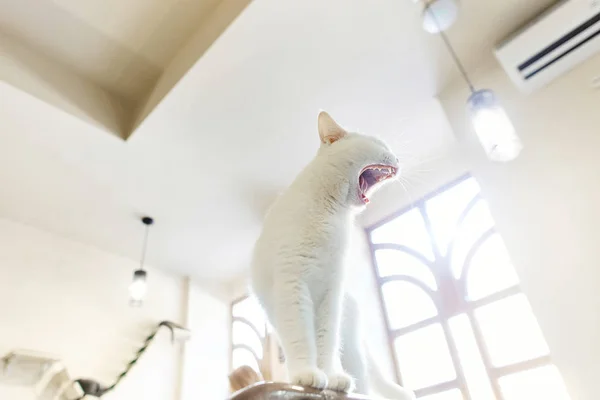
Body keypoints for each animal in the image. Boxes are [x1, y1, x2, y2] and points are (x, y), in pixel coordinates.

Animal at [248, 111, 412, 396]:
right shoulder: (293, 284)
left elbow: (325, 342)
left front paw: (332, 377)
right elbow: (301, 338)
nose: (399, 159)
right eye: (379, 143)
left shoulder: (331, 293)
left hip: (353, 349)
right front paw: (306, 374)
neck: (331, 213)